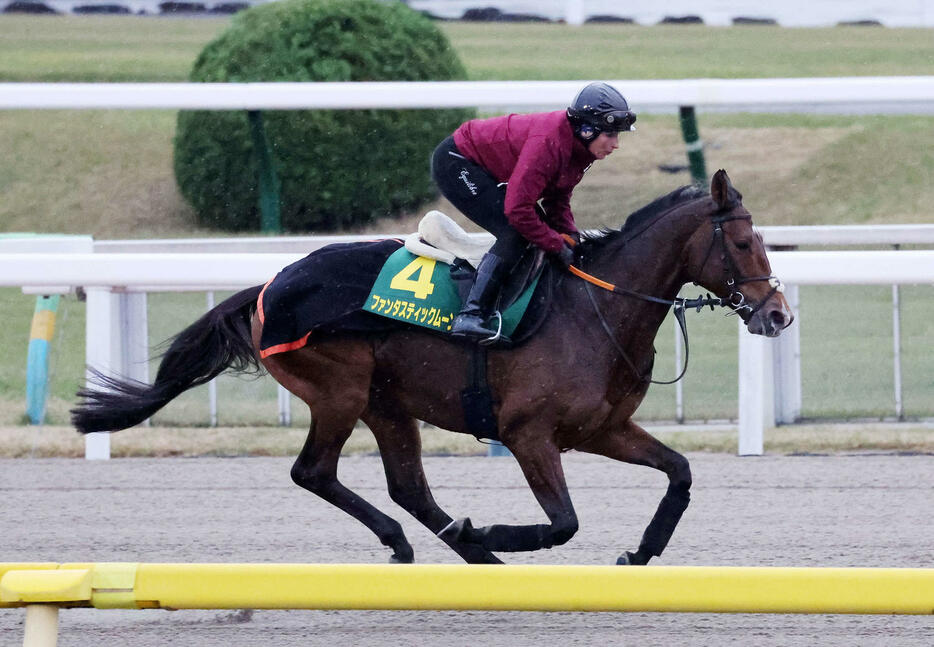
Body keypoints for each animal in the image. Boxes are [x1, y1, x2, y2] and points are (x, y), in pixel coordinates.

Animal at [69, 171, 792, 568]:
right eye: (740, 240)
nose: (778, 314)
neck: (597, 309)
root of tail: (271, 284)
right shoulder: (529, 434)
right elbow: (564, 522)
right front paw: (493, 527)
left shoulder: (601, 429)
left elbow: (681, 472)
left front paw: (640, 551)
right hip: (340, 390)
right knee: (316, 472)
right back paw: (427, 542)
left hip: (387, 402)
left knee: (407, 486)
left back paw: (469, 551)